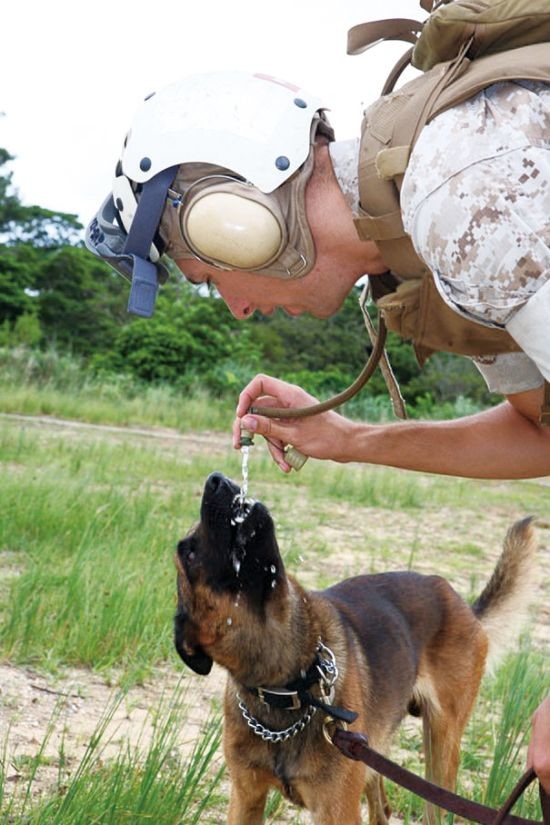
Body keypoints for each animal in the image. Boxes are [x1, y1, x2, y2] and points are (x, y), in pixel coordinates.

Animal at [176, 470, 540, 824]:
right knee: (381, 807)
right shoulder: (246, 797)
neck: (291, 686)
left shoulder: (335, 809)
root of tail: (462, 603)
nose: (217, 479)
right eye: (188, 552)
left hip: (440, 751)